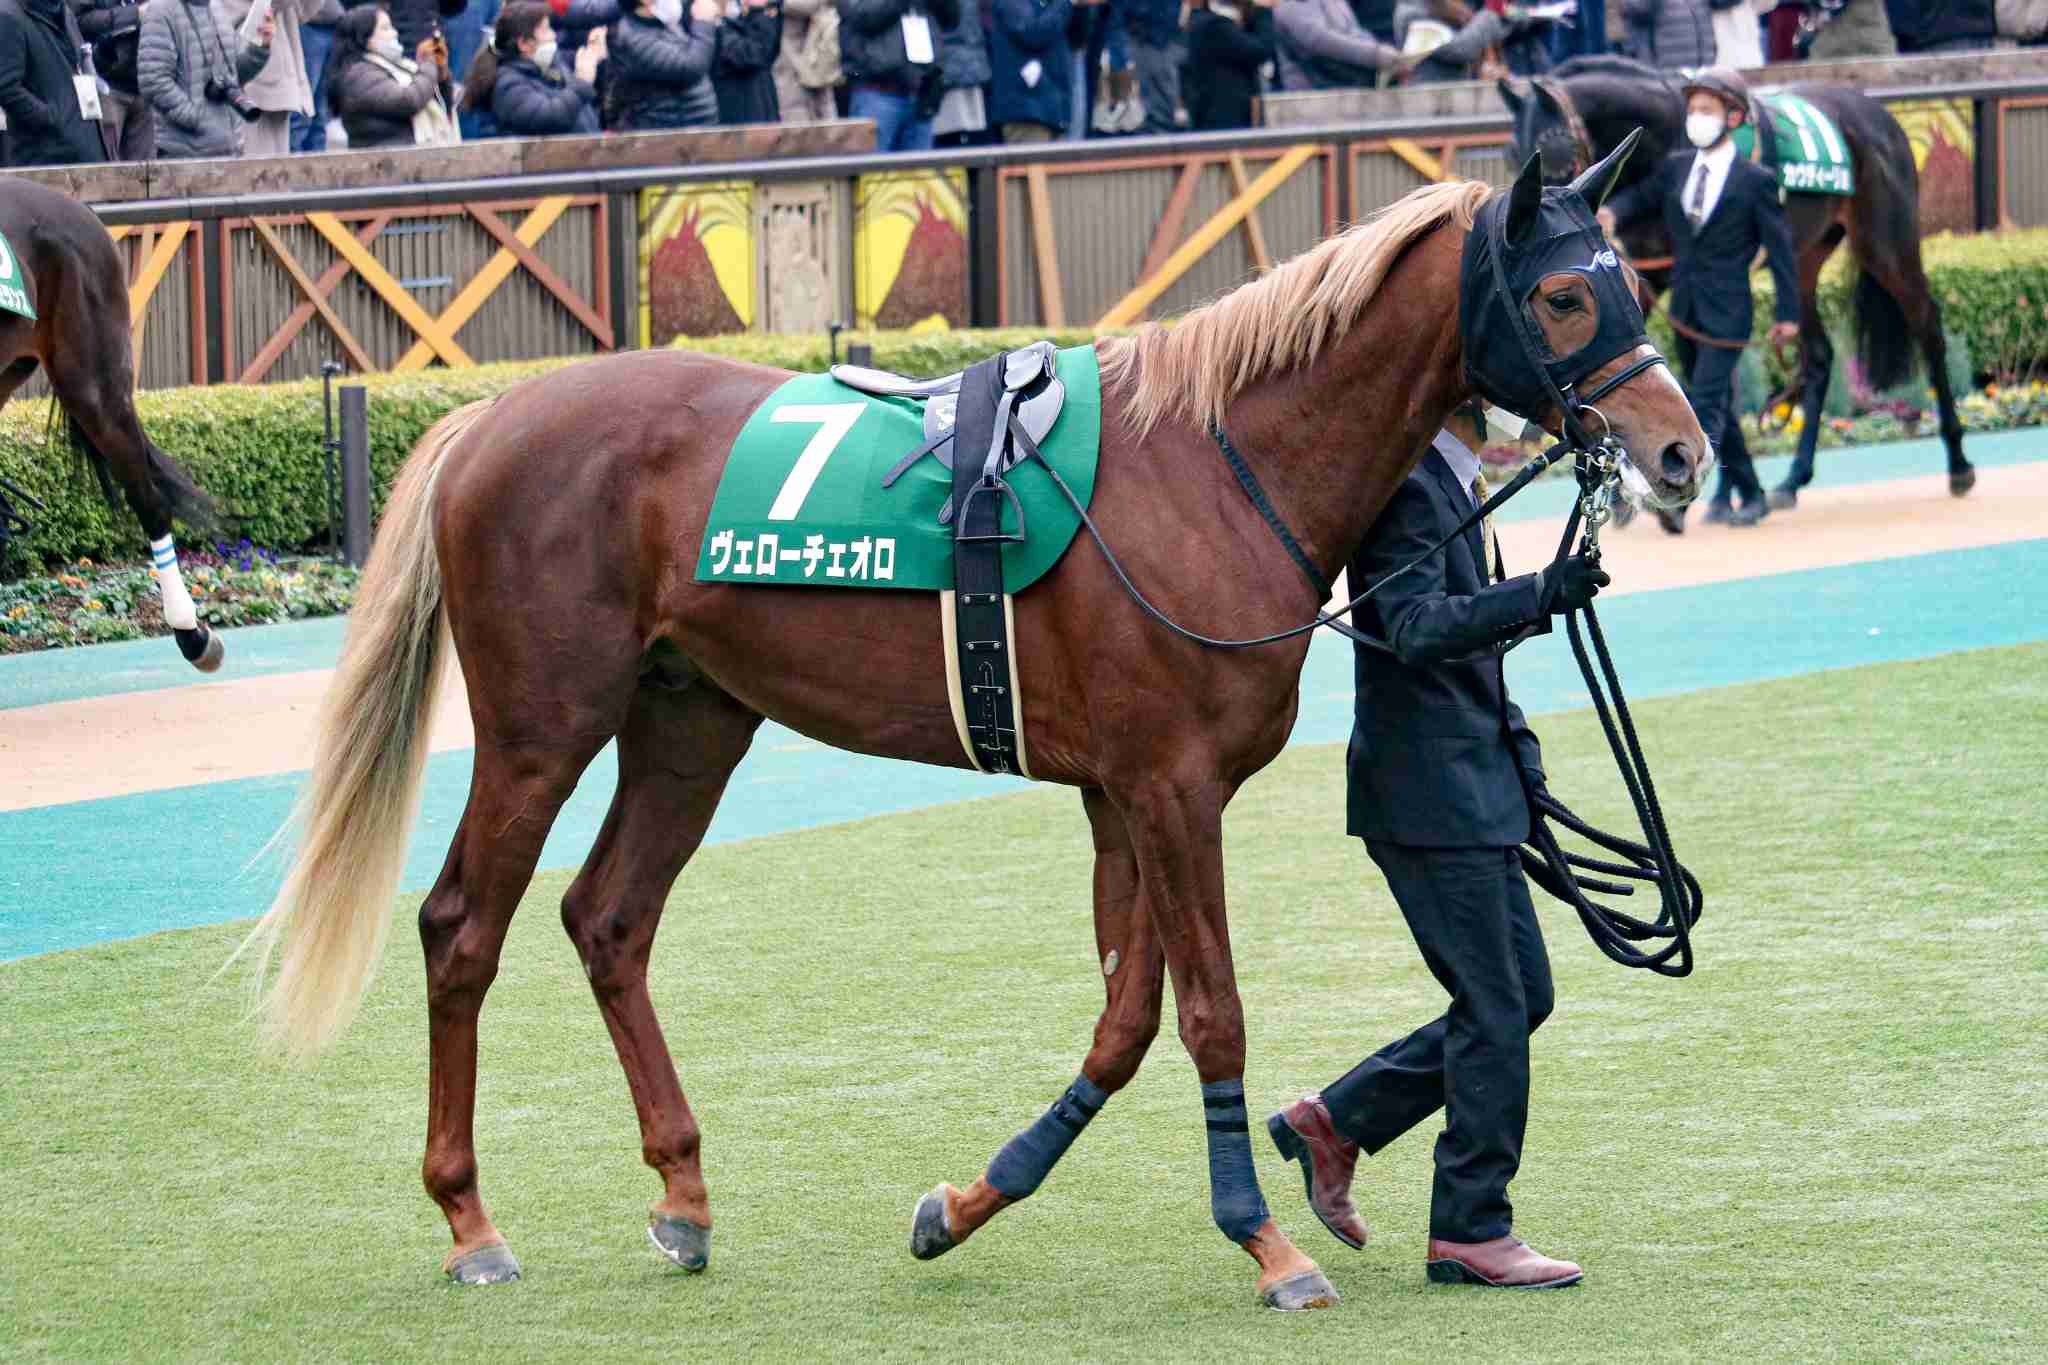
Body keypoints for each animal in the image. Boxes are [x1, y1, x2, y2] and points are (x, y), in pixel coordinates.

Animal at [240, 155, 1708, 1310]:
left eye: (1628, 283)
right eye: (1566, 295)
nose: (1682, 453)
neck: (1215, 469)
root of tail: (491, 414)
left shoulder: (1120, 795)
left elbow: (1124, 1022)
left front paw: (965, 1203)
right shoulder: (1171, 788)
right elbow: (1212, 1015)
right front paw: (1269, 1245)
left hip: (690, 719)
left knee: (608, 918)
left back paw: (684, 1197)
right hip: (542, 727)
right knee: (460, 929)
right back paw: (471, 1221)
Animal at [1499, 56, 1976, 506]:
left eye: (1551, 145)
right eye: (1511, 152)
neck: (1668, 142)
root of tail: (1876, 112)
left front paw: (1728, 492)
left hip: (1886, 244)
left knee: (1927, 326)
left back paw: (1959, 463)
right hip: (1801, 261)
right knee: (1819, 356)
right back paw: (1793, 479)